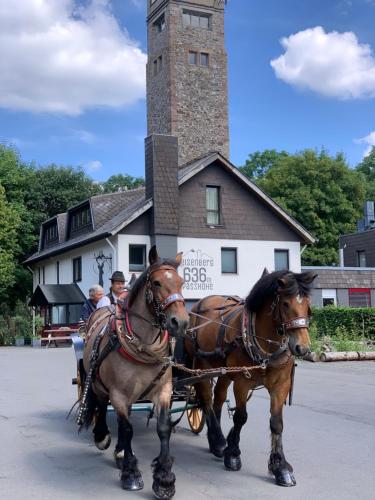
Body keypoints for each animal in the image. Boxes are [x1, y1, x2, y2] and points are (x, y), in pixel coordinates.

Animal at [81, 247, 189, 500]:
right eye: (157, 283)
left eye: (181, 282)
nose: (180, 322)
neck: (143, 346)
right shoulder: (119, 394)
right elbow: (127, 429)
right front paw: (131, 474)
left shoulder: (163, 391)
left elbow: (163, 428)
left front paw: (164, 479)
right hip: (99, 383)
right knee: (102, 406)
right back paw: (103, 437)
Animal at [186, 270, 318, 488]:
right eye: (285, 304)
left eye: (308, 304)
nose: (303, 347)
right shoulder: (242, 382)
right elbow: (241, 417)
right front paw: (232, 454)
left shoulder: (281, 385)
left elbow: (277, 423)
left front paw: (280, 467)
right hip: (202, 366)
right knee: (206, 399)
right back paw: (218, 440)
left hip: (224, 371)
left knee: (218, 398)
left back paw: (216, 443)